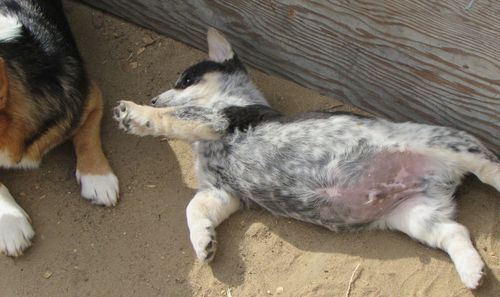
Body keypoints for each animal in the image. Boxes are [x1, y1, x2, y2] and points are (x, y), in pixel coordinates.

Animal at [113, 28, 500, 290]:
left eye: (186, 80)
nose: (153, 96)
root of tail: (440, 179)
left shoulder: (217, 120)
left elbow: (174, 119)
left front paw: (135, 113)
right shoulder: (220, 192)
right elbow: (194, 209)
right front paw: (203, 242)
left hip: (448, 146)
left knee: (489, 167)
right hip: (416, 216)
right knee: (456, 232)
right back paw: (473, 272)